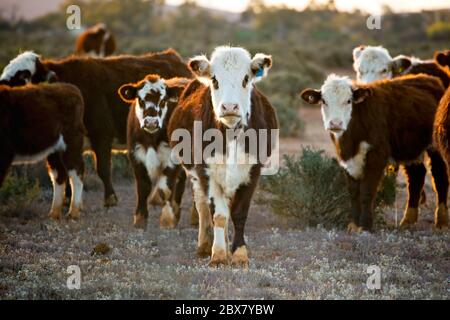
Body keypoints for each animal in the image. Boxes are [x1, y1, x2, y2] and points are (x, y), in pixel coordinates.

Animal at [0, 48, 193, 206]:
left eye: (22, 76)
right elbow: (65, 172)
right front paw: (67, 200)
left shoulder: (102, 135)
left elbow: (103, 169)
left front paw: (110, 199)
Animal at [0, 83, 85, 220]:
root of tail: (71, 87)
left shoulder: (4, 153)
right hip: (54, 149)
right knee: (59, 174)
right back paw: (54, 213)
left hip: (71, 141)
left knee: (77, 171)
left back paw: (73, 212)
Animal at [117, 75, 189, 230]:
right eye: (140, 100)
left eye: (163, 101)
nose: (151, 122)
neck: (151, 138)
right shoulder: (136, 155)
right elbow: (143, 187)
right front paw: (140, 219)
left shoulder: (173, 156)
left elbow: (165, 186)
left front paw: (166, 217)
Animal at [166, 46, 276, 266]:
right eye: (215, 80)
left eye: (246, 78)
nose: (230, 107)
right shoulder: (206, 172)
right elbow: (218, 215)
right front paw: (217, 255)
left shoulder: (253, 172)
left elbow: (239, 213)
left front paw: (239, 254)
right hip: (194, 174)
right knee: (202, 207)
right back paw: (204, 245)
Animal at [300, 74, 448, 231]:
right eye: (324, 101)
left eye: (348, 101)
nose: (335, 123)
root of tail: (429, 79)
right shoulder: (347, 161)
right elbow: (354, 192)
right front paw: (354, 224)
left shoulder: (376, 157)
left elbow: (367, 191)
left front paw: (365, 225)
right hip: (408, 147)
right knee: (416, 175)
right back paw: (407, 221)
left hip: (435, 146)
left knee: (439, 176)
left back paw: (442, 221)